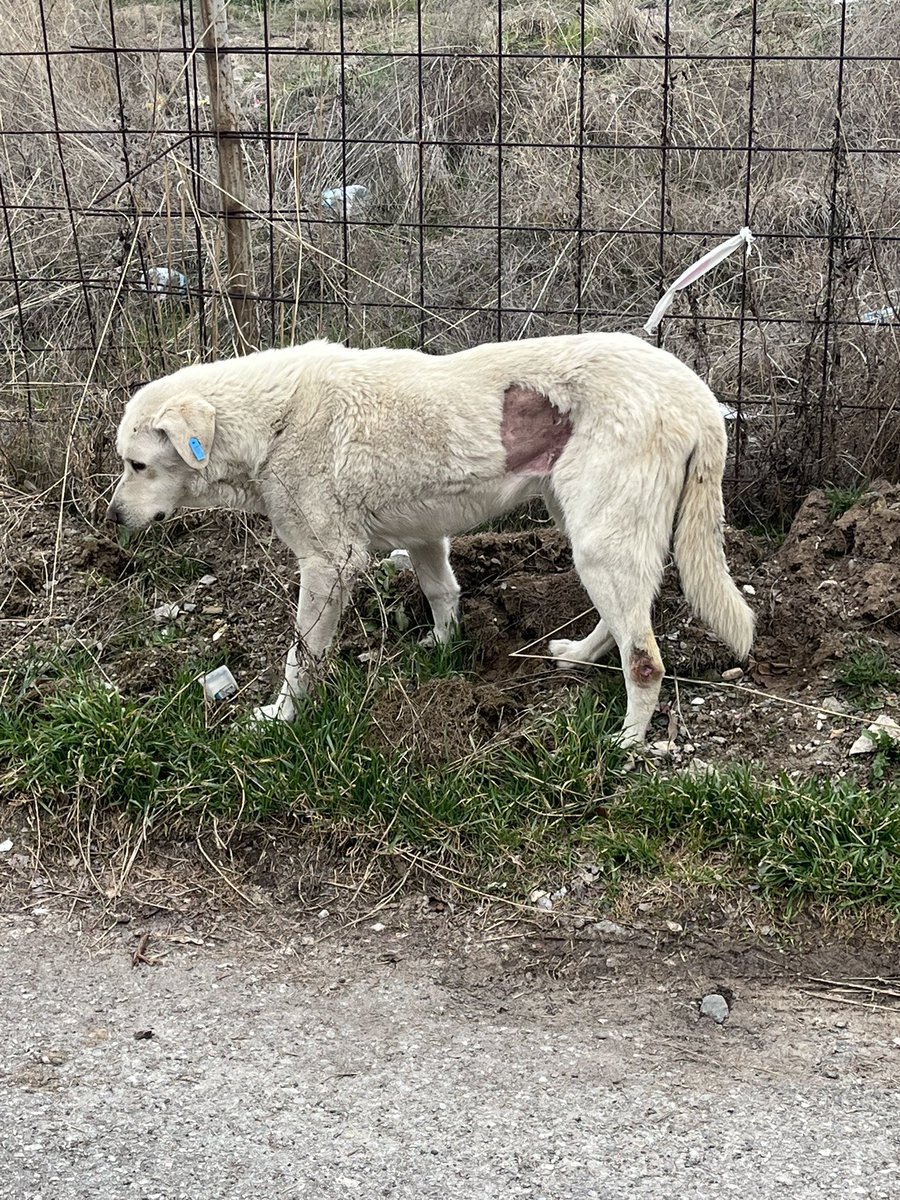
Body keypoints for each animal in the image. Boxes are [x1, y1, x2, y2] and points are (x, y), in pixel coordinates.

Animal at [107, 328, 753, 739]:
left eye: (137, 465)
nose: (111, 518)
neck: (273, 421)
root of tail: (695, 395)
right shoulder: (423, 536)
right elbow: (443, 592)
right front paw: (443, 648)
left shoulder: (329, 565)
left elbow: (301, 656)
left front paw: (282, 717)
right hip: (586, 529)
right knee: (624, 624)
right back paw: (581, 655)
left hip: (602, 539)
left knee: (644, 661)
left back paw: (626, 744)